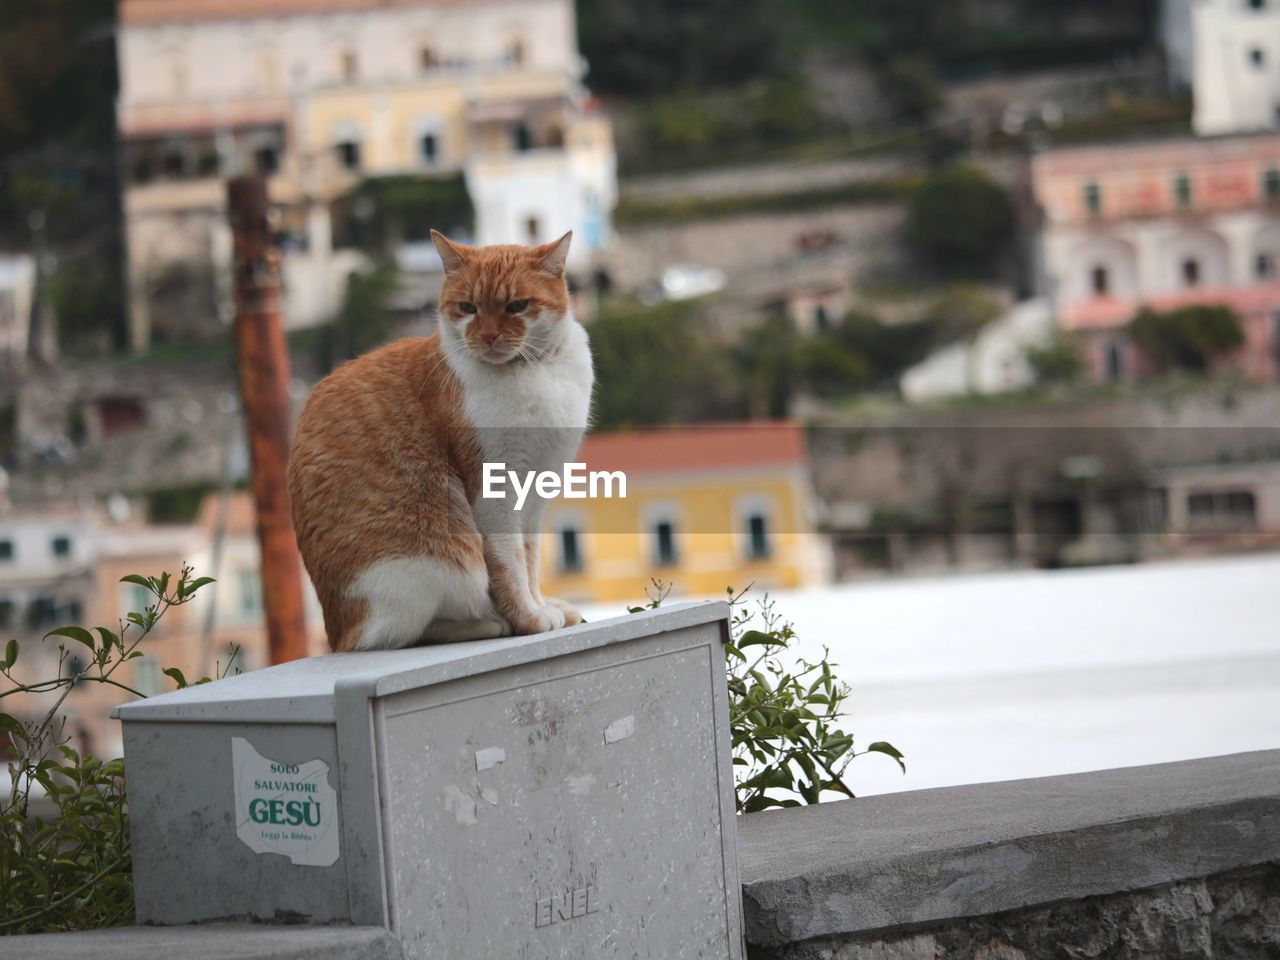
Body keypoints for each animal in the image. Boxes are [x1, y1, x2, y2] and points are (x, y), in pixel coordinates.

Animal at [288, 231, 591, 655]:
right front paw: (528, 619)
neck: (537, 370)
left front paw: (541, 605)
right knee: (399, 635)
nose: (488, 336)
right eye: (467, 307)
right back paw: (489, 623)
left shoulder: (533, 496)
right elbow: (510, 563)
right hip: (431, 564)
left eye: (516, 305)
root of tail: (337, 631)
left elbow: (530, 561)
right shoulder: (494, 492)